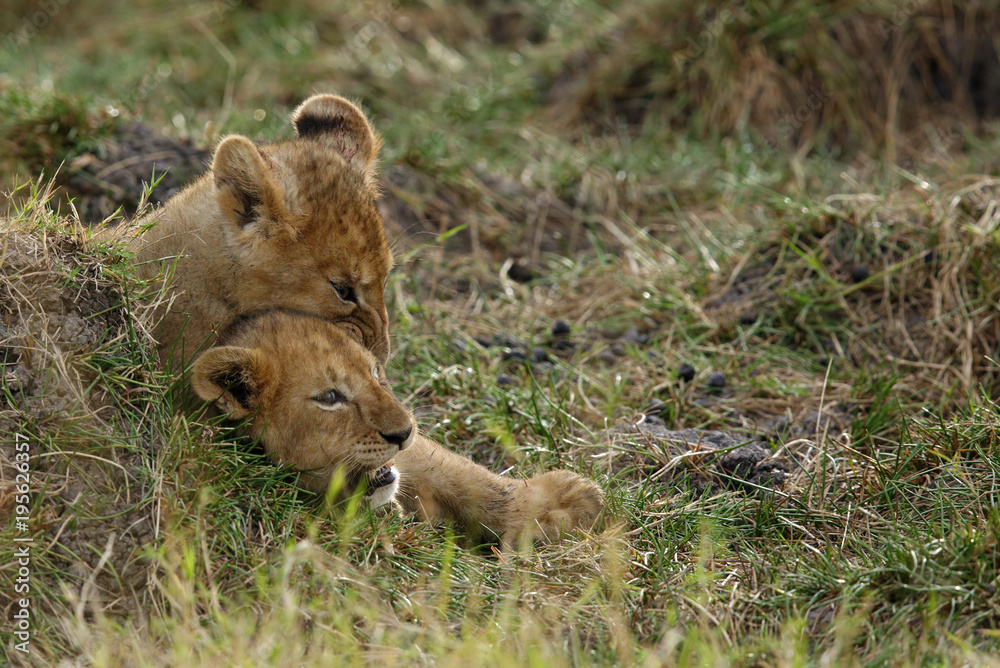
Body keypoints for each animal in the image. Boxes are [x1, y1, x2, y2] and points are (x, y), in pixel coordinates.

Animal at [190, 309, 604, 545]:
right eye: (329, 397)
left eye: (375, 373)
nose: (403, 433)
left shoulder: (417, 458)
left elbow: (470, 480)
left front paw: (568, 501)